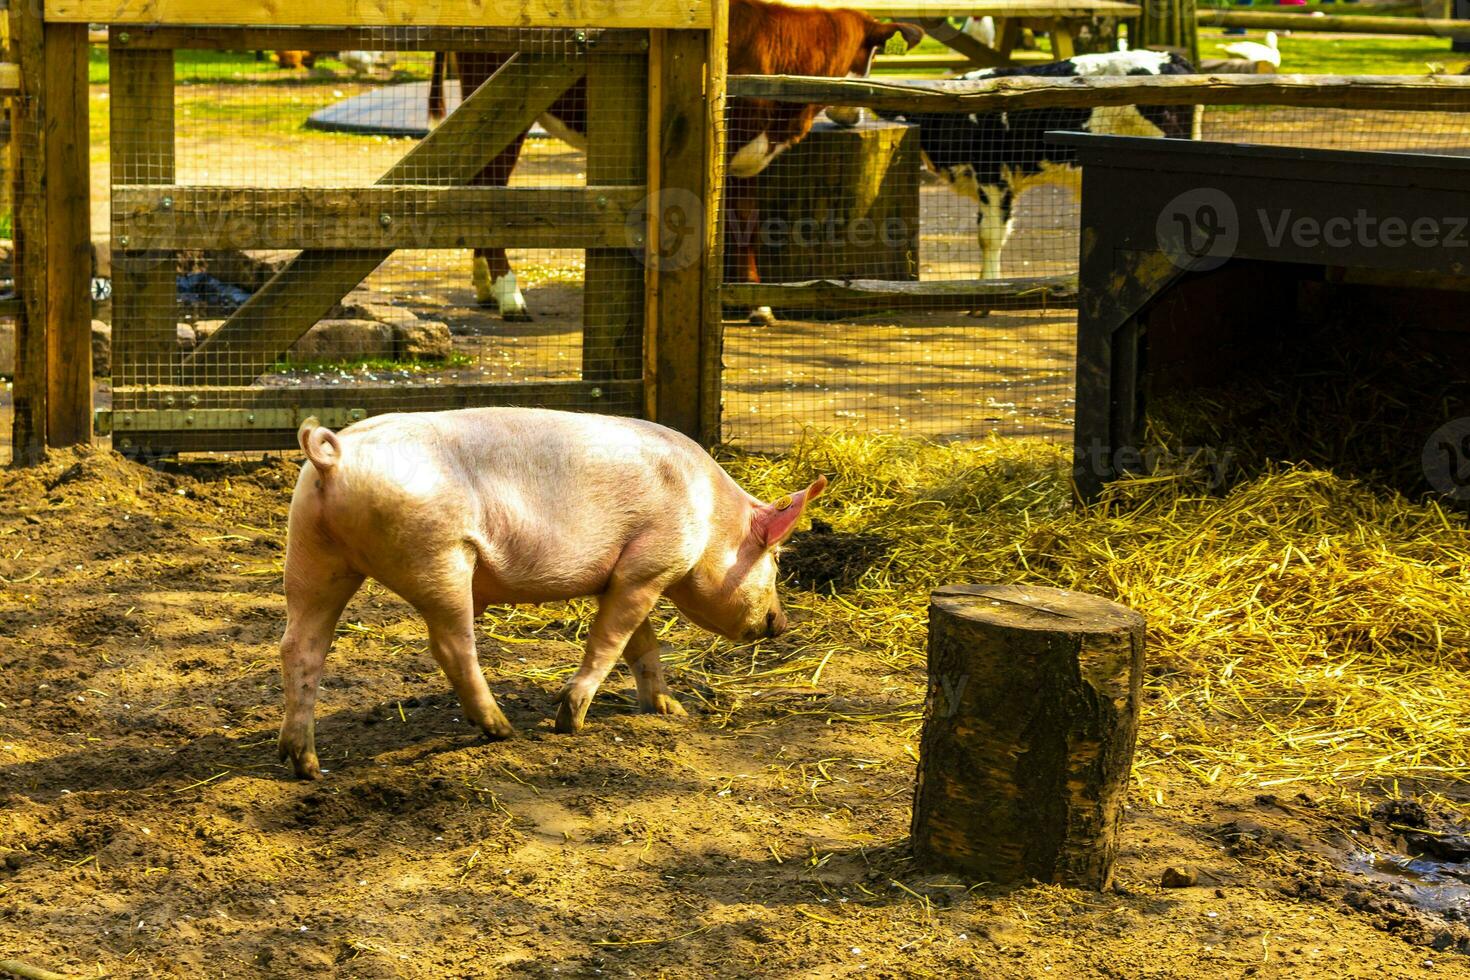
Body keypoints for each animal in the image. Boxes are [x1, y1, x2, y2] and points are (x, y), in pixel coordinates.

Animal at [276, 405, 829, 781]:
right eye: (777, 558)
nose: (782, 622)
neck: (711, 516)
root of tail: (334, 456)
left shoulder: (625, 575)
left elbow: (643, 645)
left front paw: (671, 712)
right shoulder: (648, 565)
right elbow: (610, 641)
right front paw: (569, 721)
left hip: (311, 553)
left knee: (300, 646)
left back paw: (303, 764)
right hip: (437, 558)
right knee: (451, 646)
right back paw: (503, 730)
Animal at [426, 0, 917, 321]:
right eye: (872, 57)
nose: (855, 115)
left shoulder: (747, 156)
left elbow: (748, 219)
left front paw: (754, 299)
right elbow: (722, 223)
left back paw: (484, 286)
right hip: (503, 105)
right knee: (492, 188)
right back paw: (509, 294)